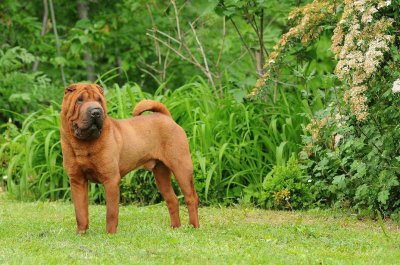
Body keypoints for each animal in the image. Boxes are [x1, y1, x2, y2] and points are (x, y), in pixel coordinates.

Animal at [60, 83, 199, 233]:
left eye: (99, 100)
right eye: (79, 100)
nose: (96, 112)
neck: (84, 145)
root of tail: (166, 117)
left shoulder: (111, 179)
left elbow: (111, 212)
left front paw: (110, 234)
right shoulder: (77, 181)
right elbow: (80, 212)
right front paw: (81, 233)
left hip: (182, 168)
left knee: (191, 198)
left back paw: (194, 227)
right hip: (161, 174)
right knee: (172, 199)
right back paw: (175, 227)